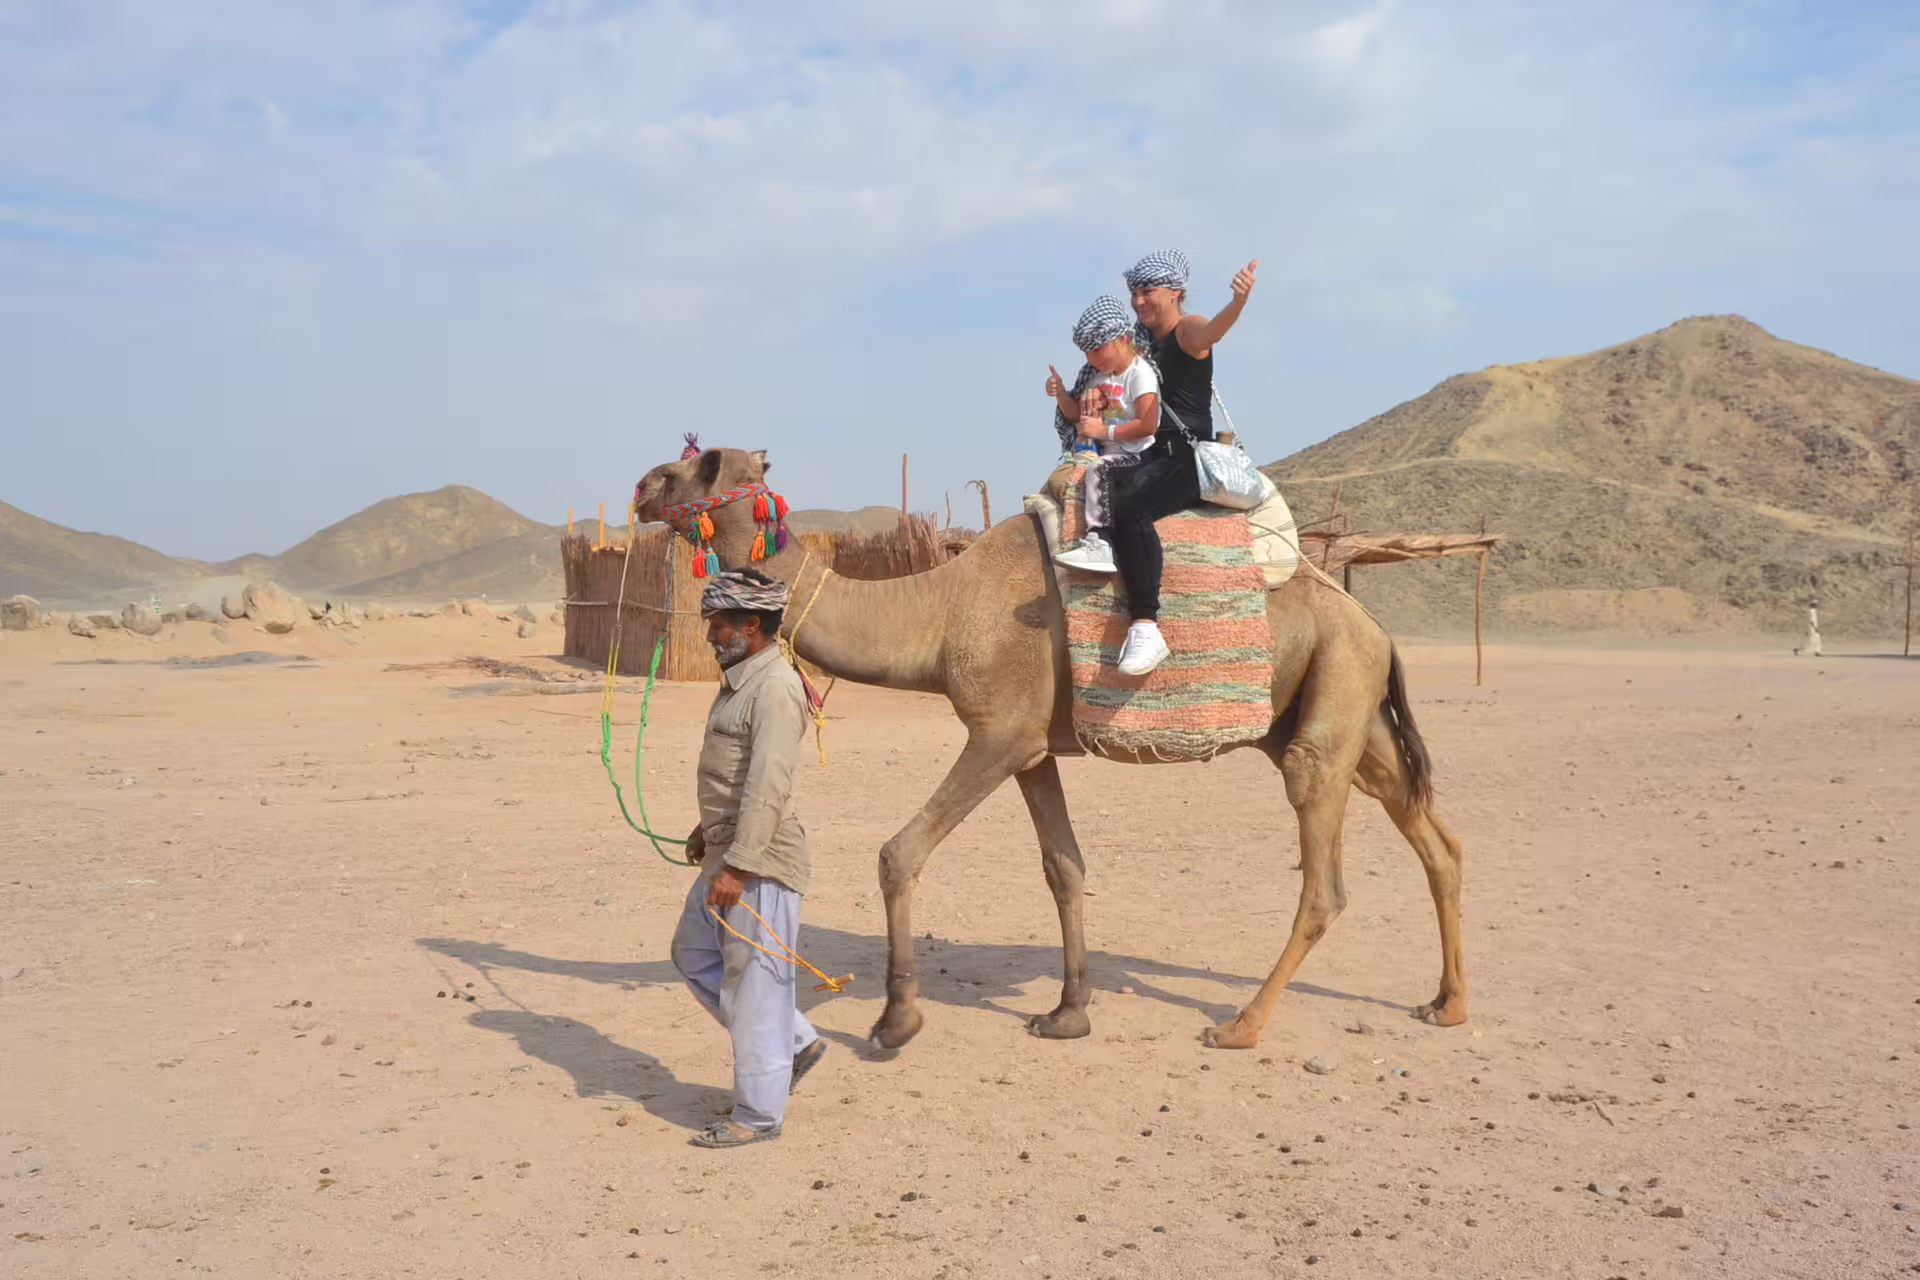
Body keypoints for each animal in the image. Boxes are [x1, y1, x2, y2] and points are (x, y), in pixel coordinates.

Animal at [632, 447, 1468, 1052]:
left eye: (700, 466)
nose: (641, 486)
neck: (938, 611)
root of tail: (1375, 625)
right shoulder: (1035, 748)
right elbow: (1064, 868)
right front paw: (1068, 1012)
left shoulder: (999, 730)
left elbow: (899, 853)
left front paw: (896, 1020)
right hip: (1346, 709)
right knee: (1433, 836)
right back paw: (1447, 1003)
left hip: (1328, 708)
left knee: (1325, 881)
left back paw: (1240, 1025)